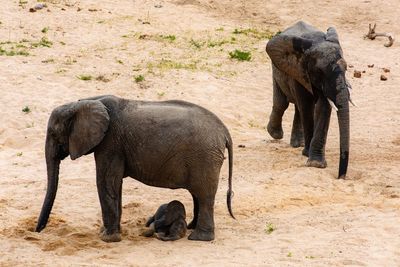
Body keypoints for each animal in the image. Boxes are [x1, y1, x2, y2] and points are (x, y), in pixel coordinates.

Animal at [35, 94, 234, 243]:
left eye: (53, 133)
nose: (37, 231)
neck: (83, 102)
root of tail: (225, 131)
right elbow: (115, 185)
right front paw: (110, 233)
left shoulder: (111, 142)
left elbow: (106, 182)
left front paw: (107, 239)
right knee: (197, 194)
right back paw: (192, 228)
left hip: (205, 157)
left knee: (204, 195)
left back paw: (199, 238)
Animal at [266, 21, 354, 180]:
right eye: (319, 71)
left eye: (346, 69)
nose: (341, 177)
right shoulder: (299, 70)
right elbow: (307, 106)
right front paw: (309, 158)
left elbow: (323, 108)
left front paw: (316, 164)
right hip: (277, 70)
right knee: (283, 104)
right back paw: (275, 134)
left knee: (296, 108)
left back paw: (297, 144)